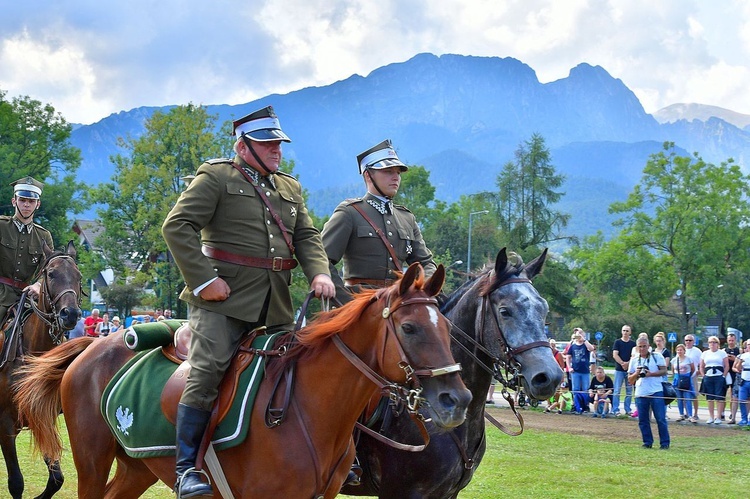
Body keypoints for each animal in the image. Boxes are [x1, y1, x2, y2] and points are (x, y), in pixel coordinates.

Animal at [0, 240, 82, 498]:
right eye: (51, 273)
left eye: (79, 276)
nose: (71, 314)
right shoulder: (5, 424)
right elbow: (16, 482)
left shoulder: (42, 417)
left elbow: (56, 479)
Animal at [16, 264, 470, 498]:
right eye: (409, 328)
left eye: (447, 327)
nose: (458, 399)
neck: (307, 409)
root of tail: (93, 345)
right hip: (92, 461)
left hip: (138, 467)